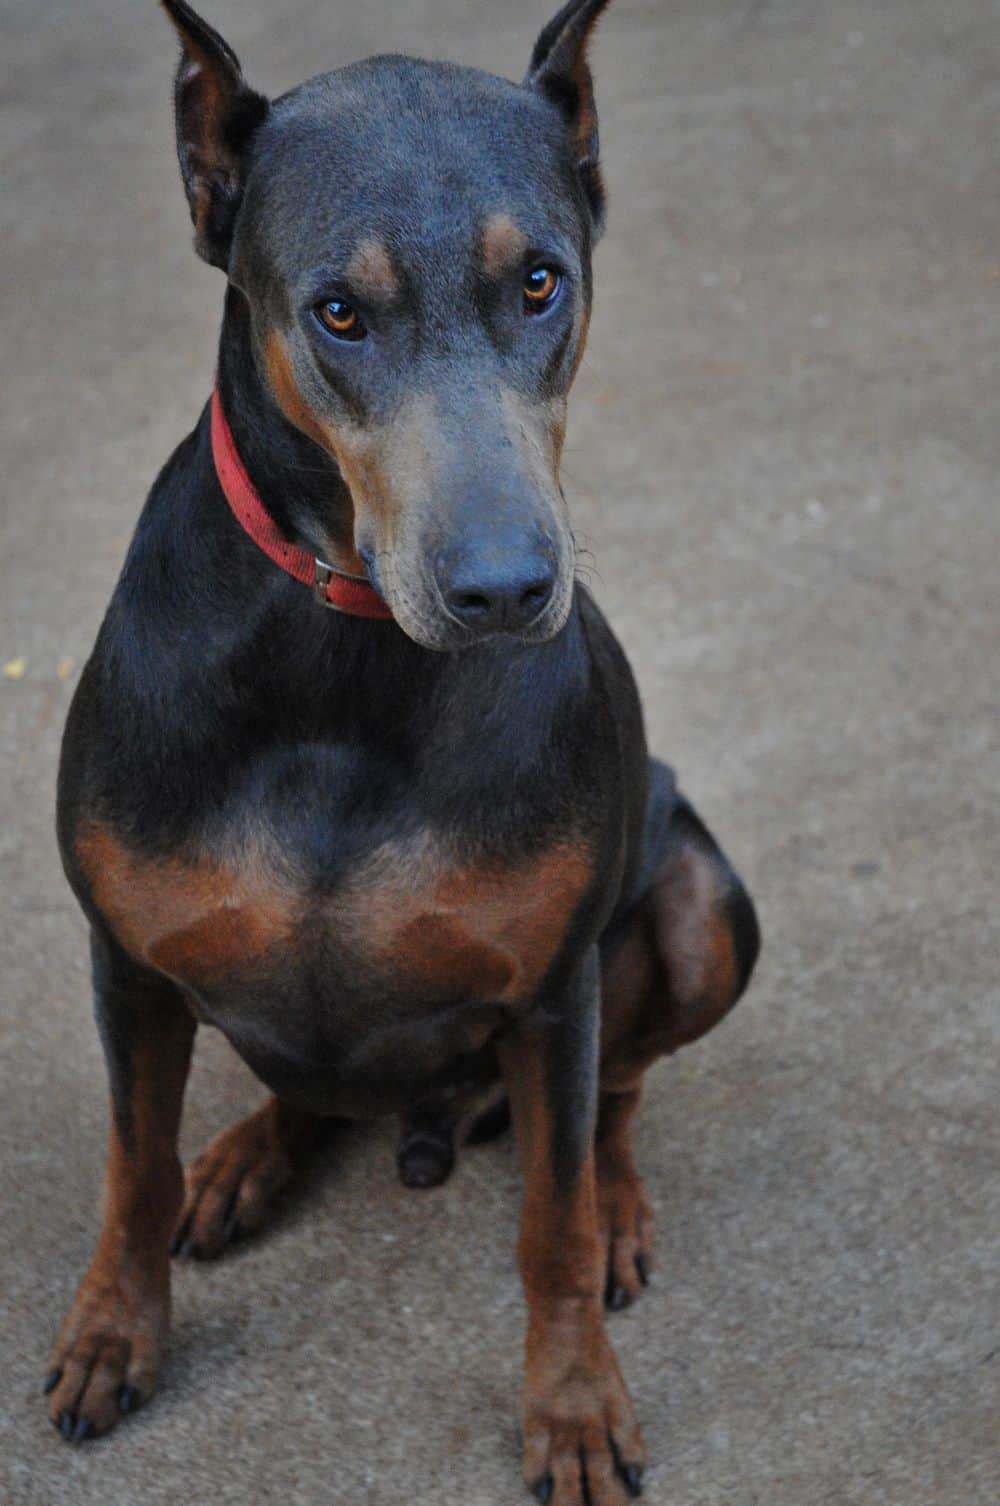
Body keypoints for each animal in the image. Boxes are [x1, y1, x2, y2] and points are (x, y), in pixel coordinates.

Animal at [44, 5, 759, 1499]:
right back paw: (242, 1158)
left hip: (705, 903)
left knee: (618, 1095)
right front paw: (113, 1334)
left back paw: (617, 1201)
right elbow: (130, 1169)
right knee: (294, 1083)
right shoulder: (124, 959)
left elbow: (548, 1217)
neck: (344, 654)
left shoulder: (551, 993)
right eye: (337, 311)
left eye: (540, 282)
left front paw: (572, 1406)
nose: (505, 589)